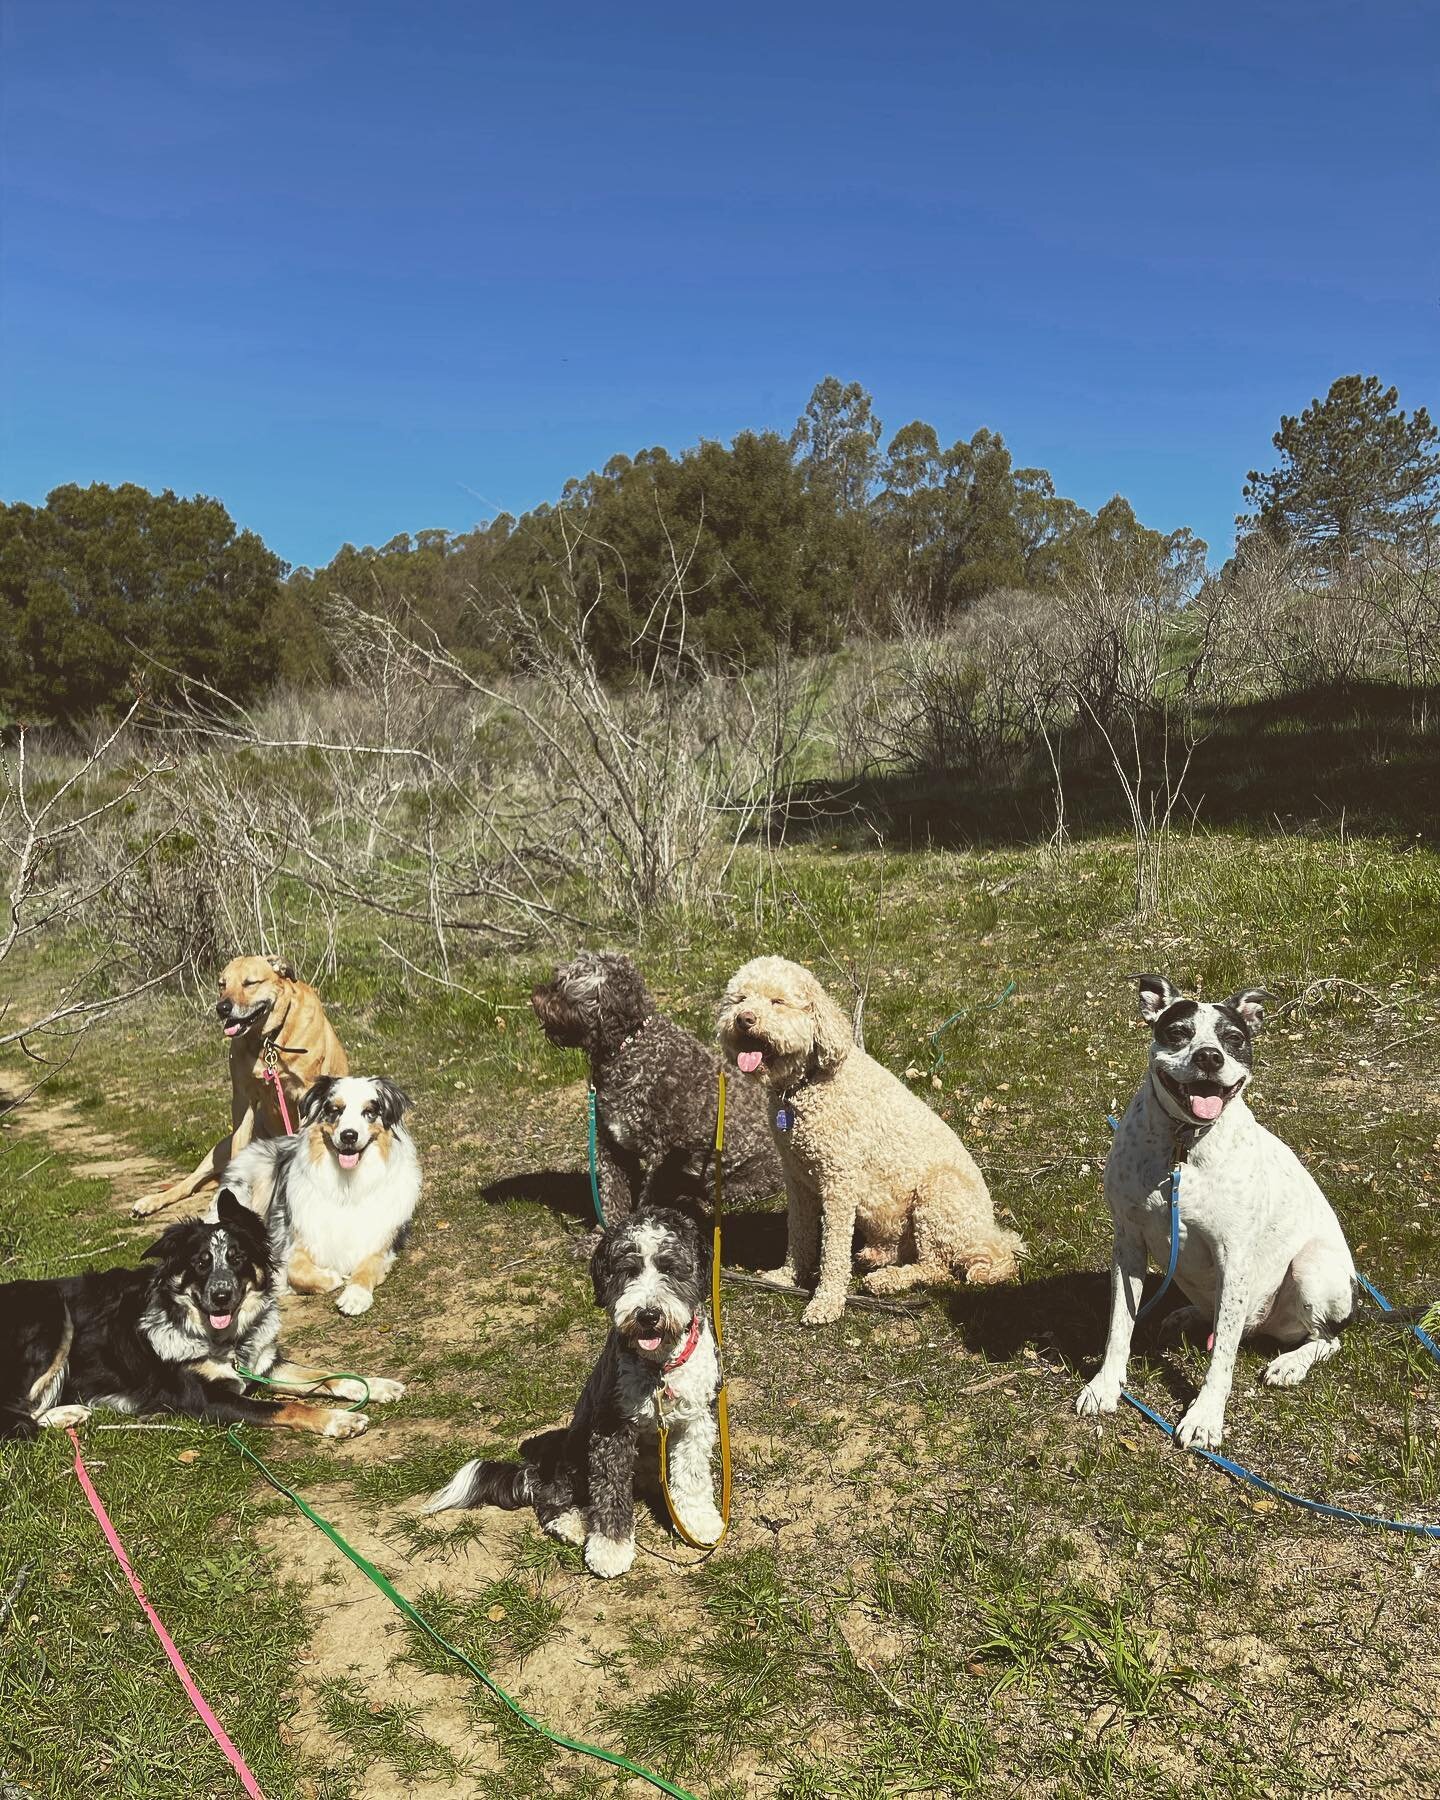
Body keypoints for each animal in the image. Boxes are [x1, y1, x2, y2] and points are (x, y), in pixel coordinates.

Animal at [133, 957, 351, 1224]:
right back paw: (151, 1202)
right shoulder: (242, 1099)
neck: (268, 1042)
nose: (222, 1008)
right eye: (222, 984)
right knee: (188, 1184)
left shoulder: (305, 1096)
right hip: (218, 1150)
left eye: (250, 983)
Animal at [424, 1209, 720, 1576]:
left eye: (670, 1267)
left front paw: (698, 1521)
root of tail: (539, 1470)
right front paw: (610, 1548)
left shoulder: (696, 1421)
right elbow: (609, 1492)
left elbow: (692, 1477)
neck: (658, 1368)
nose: (648, 1315)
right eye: (627, 1270)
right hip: (578, 1450)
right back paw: (572, 1523)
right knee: (553, 1496)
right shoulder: (611, 1430)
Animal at [532, 950, 781, 1231]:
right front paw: (603, 1233)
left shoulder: (661, 1154)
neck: (629, 1048)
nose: (535, 994)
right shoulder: (611, 1147)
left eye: (562, 984)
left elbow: (649, 1196)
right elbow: (611, 1196)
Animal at [712, 957, 1015, 1324]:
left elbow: (833, 1248)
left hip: (939, 1194)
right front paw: (788, 1275)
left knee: (937, 1267)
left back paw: (889, 1280)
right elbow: (798, 1232)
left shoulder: (838, 1181)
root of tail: (990, 1237)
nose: (744, 1019)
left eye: (778, 1002)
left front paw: (826, 1301)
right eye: (740, 999)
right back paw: (876, 1256)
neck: (806, 1085)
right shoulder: (796, 1177)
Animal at [1080, 972, 1360, 1447]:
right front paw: (1105, 1385)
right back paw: (1188, 1315)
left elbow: (1223, 1357)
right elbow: (1120, 1325)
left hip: (1311, 1268)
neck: (1183, 1146)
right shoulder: (1128, 1246)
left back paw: (1290, 1363)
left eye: (1233, 1039)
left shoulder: (1234, 1259)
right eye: (1178, 1033)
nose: (1210, 1057)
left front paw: (1206, 1415)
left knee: (1325, 1339)